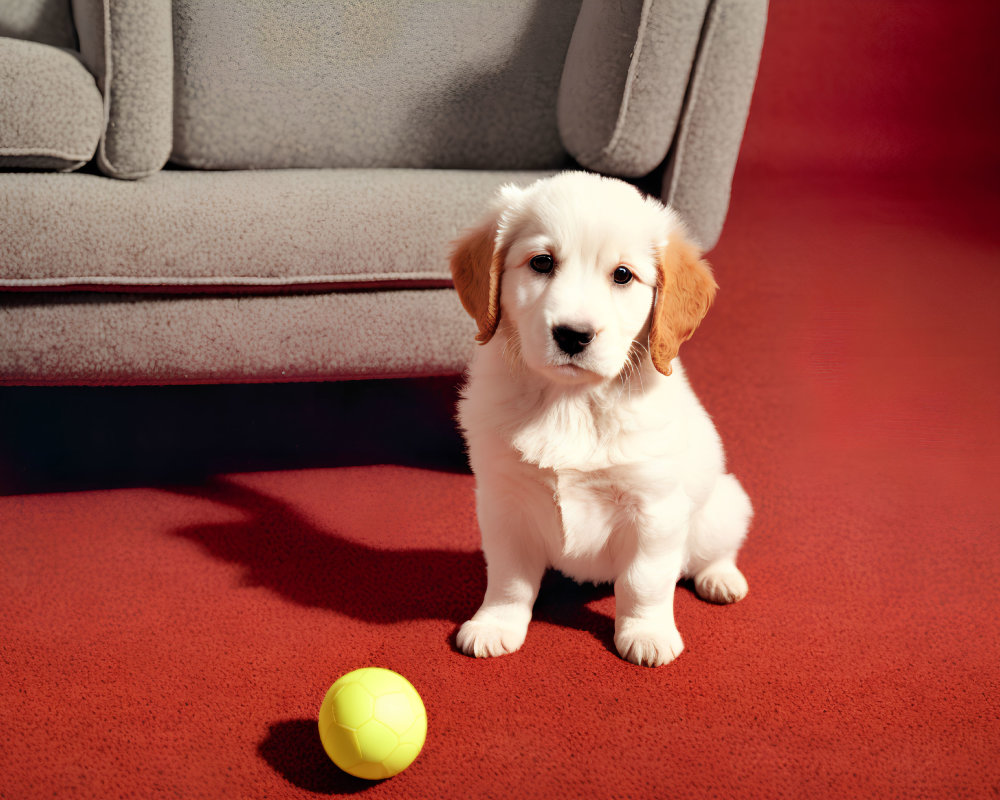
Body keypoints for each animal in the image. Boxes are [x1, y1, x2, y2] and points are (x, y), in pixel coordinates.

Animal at [448, 172, 752, 664]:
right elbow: (509, 578)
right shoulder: (504, 502)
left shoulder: (654, 509)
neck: (571, 402)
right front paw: (496, 624)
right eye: (542, 262)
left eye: (623, 275)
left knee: (713, 551)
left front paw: (647, 632)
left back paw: (720, 578)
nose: (573, 335)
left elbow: (644, 581)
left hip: (724, 503)